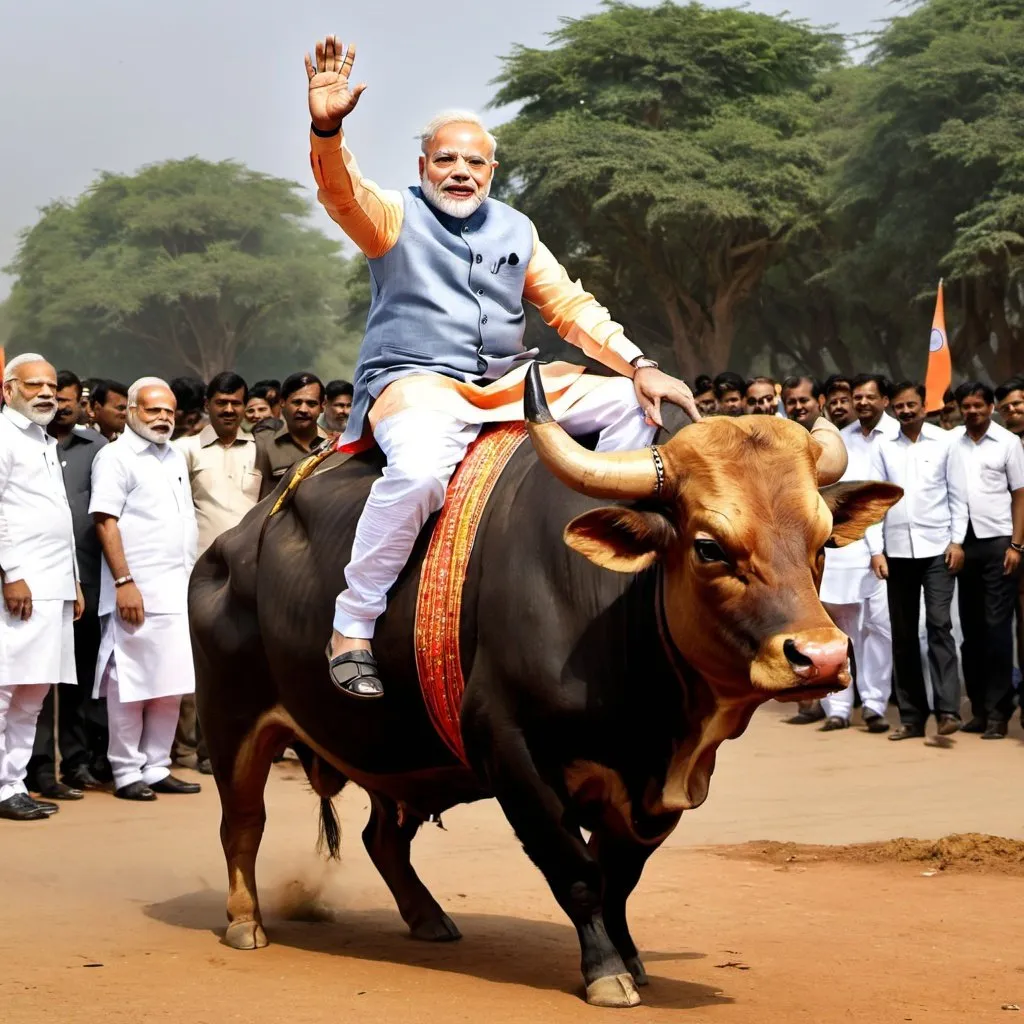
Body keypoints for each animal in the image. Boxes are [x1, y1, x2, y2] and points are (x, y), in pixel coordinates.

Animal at [192, 362, 905, 1007]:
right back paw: (245, 921)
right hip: (233, 723)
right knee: (242, 823)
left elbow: (620, 877)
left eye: (821, 542)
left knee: (382, 836)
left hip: (398, 756)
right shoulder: (510, 751)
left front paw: (631, 956)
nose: (821, 657)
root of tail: (232, 544)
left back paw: (429, 919)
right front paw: (607, 973)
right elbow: (578, 870)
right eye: (708, 547)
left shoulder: (650, 797)